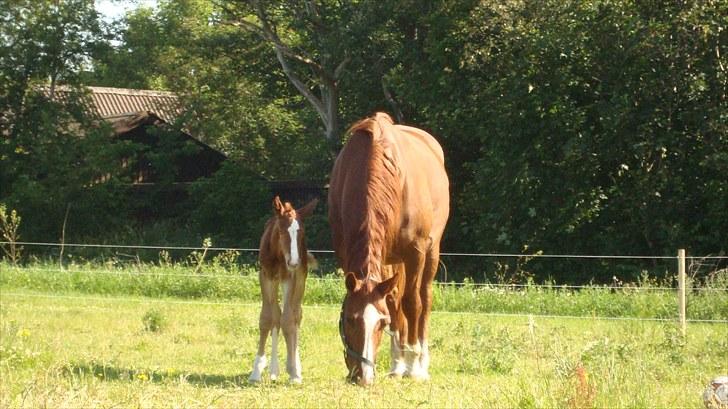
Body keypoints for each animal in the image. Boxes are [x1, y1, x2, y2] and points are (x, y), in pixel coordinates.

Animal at [249, 194, 318, 382]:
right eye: (280, 232)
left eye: (301, 233)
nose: (293, 261)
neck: (278, 256)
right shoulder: (266, 276)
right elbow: (268, 318)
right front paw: (257, 370)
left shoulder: (291, 278)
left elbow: (288, 320)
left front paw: (294, 371)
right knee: (277, 315)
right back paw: (273, 370)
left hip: (298, 278)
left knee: (295, 315)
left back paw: (295, 366)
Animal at [328, 111, 450, 382]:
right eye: (350, 319)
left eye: (380, 324)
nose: (362, 376)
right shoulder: (345, 251)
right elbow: (394, 304)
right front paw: (399, 363)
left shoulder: (415, 251)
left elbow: (412, 304)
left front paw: (413, 366)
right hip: (392, 259)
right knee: (395, 298)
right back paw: (397, 365)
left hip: (430, 252)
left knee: (424, 298)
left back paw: (420, 363)